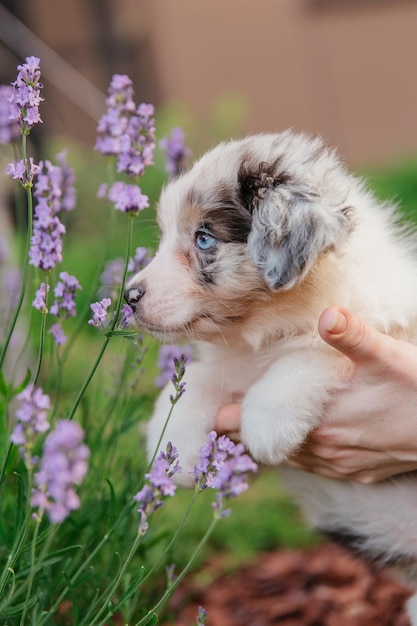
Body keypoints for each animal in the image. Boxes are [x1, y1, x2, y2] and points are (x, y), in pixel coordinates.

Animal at [124, 130, 417, 620]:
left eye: (204, 239)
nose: (128, 296)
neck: (268, 327)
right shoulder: (232, 364)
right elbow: (194, 381)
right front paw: (173, 445)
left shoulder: (383, 328)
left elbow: (315, 347)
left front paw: (267, 424)